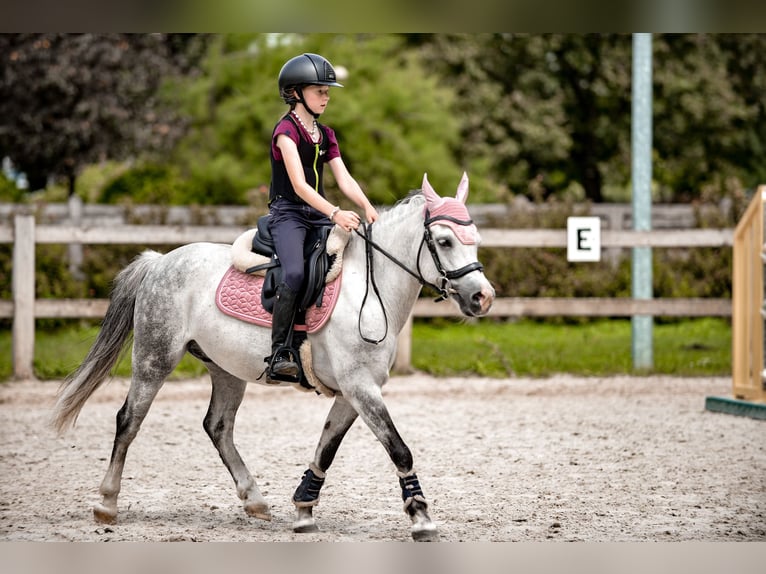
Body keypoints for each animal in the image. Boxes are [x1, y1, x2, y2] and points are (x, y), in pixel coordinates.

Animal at [54, 173, 498, 544]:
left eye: (474, 237)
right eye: (445, 241)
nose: (483, 297)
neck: (370, 288)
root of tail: (160, 261)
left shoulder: (351, 393)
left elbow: (326, 449)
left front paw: (303, 510)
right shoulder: (361, 388)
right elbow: (399, 449)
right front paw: (421, 519)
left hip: (225, 369)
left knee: (218, 426)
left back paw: (254, 499)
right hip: (154, 357)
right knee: (129, 419)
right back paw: (106, 503)